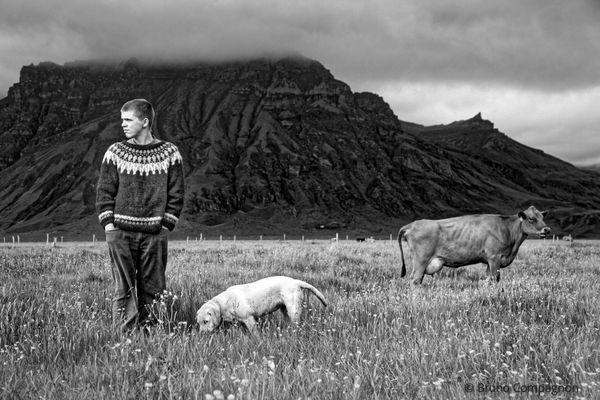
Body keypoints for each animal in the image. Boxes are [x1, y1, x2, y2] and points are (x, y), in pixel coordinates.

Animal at [197, 276, 328, 334]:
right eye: (199, 323)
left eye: (206, 321)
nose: (202, 334)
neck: (222, 303)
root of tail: (295, 281)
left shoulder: (249, 318)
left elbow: (254, 332)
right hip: (285, 309)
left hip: (293, 309)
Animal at [396, 206, 552, 284]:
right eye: (531, 219)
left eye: (542, 217)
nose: (547, 229)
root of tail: (412, 224)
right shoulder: (494, 257)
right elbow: (495, 279)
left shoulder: (490, 261)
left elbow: (489, 279)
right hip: (421, 259)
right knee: (415, 279)